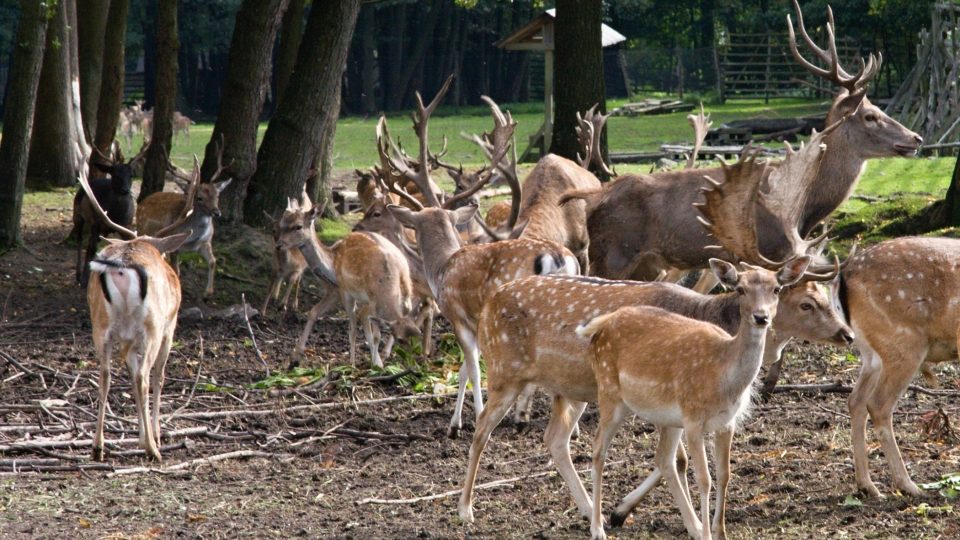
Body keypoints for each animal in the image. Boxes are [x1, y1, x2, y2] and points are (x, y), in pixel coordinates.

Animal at [79, 162, 193, 462]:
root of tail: (122, 265)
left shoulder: (126, 340)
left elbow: (128, 374)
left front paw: (142, 435)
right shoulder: (169, 328)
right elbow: (158, 377)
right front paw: (154, 436)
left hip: (100, 325)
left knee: (104, 374)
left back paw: (98, 446)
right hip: (151, 325)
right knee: (144, 376)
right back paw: (153, 450)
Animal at [568, 0, 924, 286]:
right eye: (869, 115)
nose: (916, 139)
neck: (807, 207)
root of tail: (595, 200)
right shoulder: (766, 248)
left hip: (645, 262)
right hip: (612, 254)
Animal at [576, 258, 808, 540]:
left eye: (776, 289)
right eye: (740, 289)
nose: (761, 317)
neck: (724, 379)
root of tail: (602, 324)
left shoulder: (726, 423)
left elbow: (724, 474)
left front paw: (720, 532)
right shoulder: (694, 420)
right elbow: (704, 479)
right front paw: (708, 533)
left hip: (668, 417)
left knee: (663, 459)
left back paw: (690, 525)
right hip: (609, 391)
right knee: (598, 449)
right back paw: (598, 528)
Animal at [832, 236, 960, 498]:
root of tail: (844, 273)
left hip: (871, 353)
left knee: (855, 400)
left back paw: (867, 485)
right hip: (904, 343)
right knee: (878, 404)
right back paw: (908, 485)